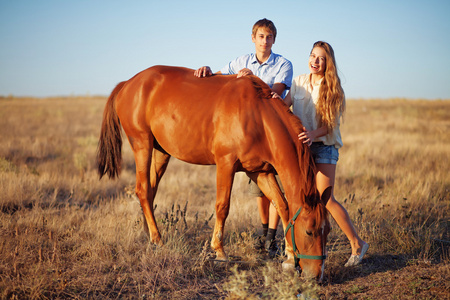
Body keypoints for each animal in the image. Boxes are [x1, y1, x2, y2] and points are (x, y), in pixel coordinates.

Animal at [97, 65, 330, 278]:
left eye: (326, 231)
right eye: (309, 231)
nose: (317, 275)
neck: (258, 116)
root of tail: (128, 83)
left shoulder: (259, 172)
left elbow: (282, 206)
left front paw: (289, 257)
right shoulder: (226, 164)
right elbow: (222, 207)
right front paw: (219, 252)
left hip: (161, 152)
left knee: (150, 192)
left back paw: (149, 234)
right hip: (142, 145)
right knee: (143, 190)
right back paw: (157, 239)